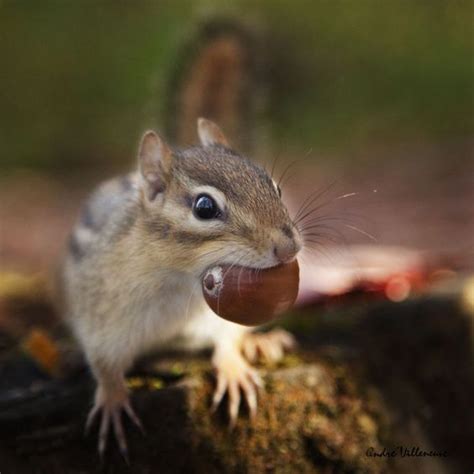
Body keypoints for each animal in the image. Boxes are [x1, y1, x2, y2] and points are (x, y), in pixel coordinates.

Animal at [57, 19, 300, 460]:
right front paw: (113, 400)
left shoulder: (216, 317)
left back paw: (263, 342)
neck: (180, 279)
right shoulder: (102, 314)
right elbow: (104, 363)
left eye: (272, 184)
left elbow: (227, 339)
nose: (289, 248)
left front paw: (235, 367)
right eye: (204, 207)